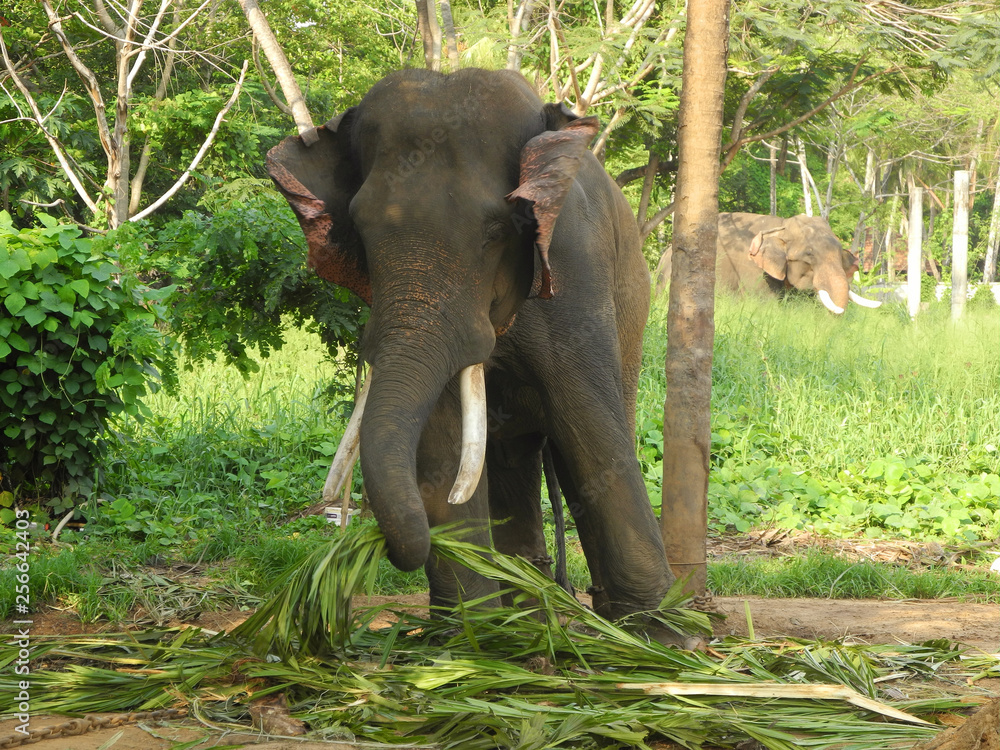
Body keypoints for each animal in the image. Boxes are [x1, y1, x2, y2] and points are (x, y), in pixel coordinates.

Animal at [267, 68, 682, 632]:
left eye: (496, 231)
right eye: (363, 232)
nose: (362, 538)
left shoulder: (575, 268)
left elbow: (589, 424)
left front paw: (661, 639)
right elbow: (443, 443)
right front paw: (478, 638)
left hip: (633, 305)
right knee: (509, 456)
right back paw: (526, 619)